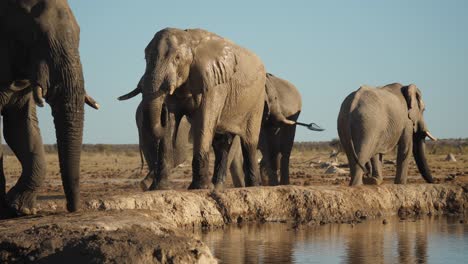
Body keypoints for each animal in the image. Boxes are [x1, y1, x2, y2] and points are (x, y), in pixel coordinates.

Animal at [119, 28, 266, 190]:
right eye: (146, 58)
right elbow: (171, 123)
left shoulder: (215, 83)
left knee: (249, 142)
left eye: (177, 58)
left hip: (257, 100)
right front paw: (158, 188)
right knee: (221, 143)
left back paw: (253, 186)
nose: (162, 111)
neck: (189, 39)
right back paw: (216, 187)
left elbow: (203, 121)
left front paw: (199, 187)